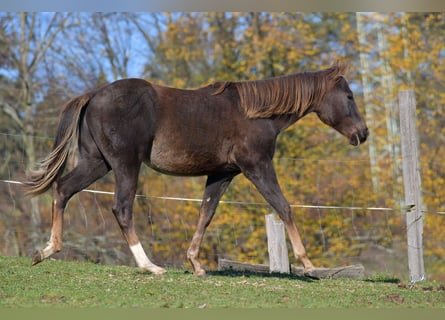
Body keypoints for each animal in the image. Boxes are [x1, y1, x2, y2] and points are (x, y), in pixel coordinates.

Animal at [22, 63, 368, 276]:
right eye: (349, 96)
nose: (362, 133)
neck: (256, 114)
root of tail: (92, 94)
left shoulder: (222, 174)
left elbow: (206, 213)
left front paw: (196, 264)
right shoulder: (257, 166)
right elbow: (284, 207)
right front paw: (308, 265)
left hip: (97, 163)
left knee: (63, 189)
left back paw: (46, 250)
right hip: (125, 165)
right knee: (121, 208)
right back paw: (149, 266)